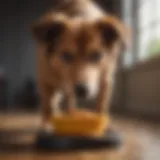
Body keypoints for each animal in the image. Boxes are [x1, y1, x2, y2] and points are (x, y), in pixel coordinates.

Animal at [31, 0, 129, 130]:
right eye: (66, 55)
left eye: (96, 55)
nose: (82, 90)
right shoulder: (45, 81)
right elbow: (48, 106)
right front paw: (48, 124)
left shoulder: (106, 81)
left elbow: (101, 106)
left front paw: (100, 123)